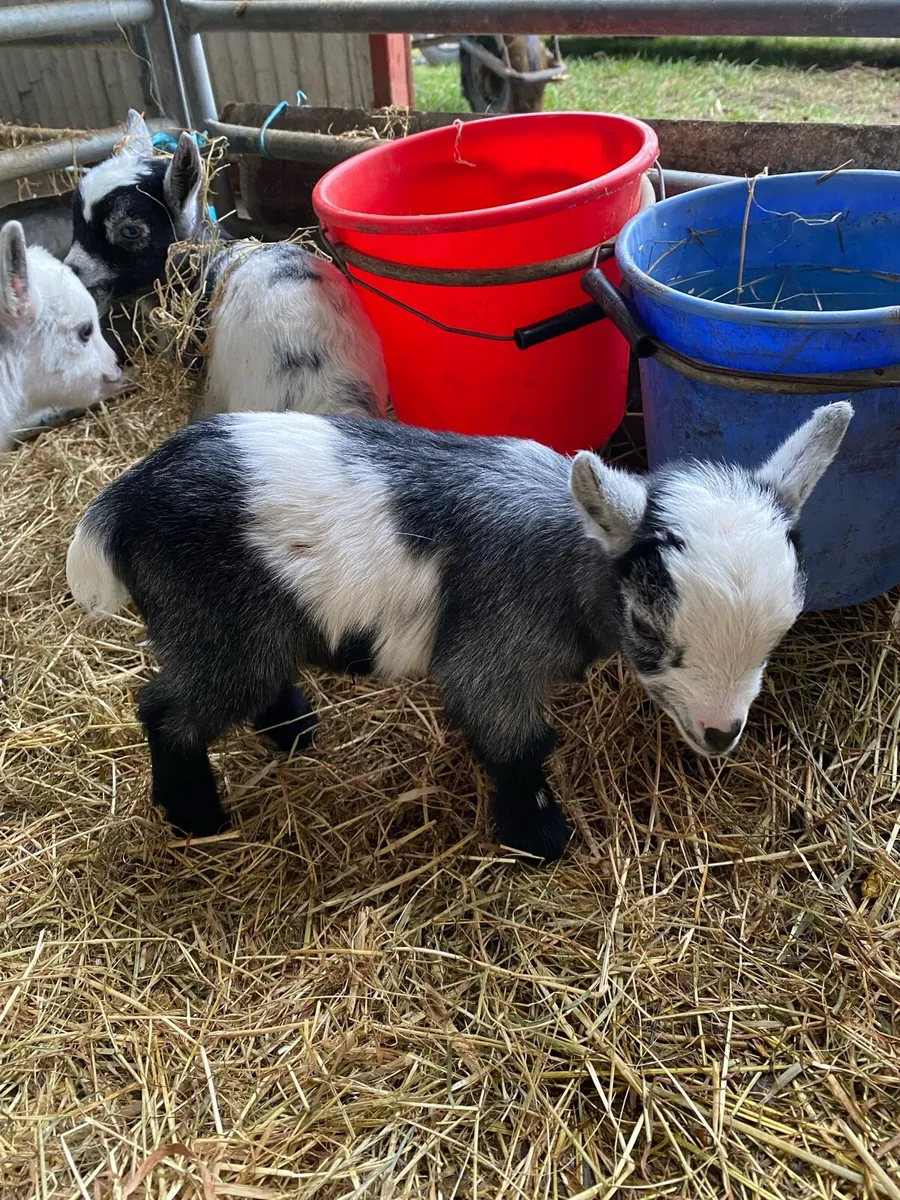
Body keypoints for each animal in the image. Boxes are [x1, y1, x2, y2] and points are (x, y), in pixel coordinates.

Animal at [67, 403, 850, 859]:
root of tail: (124, 498)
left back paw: (291, 730)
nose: (722, 734)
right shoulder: (493, 653)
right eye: (648, 629)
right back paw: (195, 815)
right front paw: (540, 837)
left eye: (780, 631)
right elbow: (517, 744)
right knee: (167, 709)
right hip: (213, 624)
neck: (569, 552)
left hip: (246, 628)